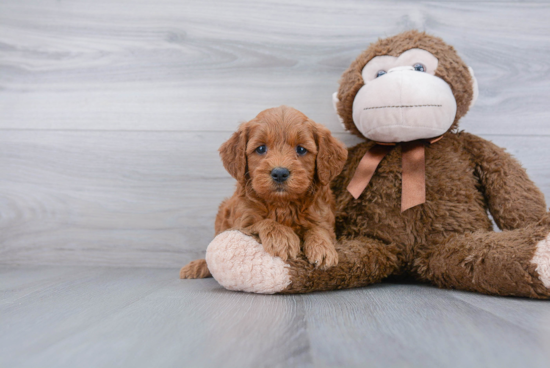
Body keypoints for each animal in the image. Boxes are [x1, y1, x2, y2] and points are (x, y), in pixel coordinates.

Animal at [181, 106, 350, 278]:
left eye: (301, 149)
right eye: (261, 148)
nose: (280, 173)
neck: (282, 204)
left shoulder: (323, 217)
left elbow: (319, 229)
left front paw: (323, 247)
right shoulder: (241, 221)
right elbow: (262, 222)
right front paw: (282, 237)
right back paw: (198, 265)